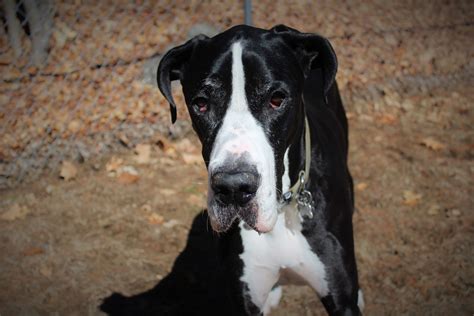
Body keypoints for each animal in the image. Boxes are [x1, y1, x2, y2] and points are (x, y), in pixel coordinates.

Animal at [102, 24, 362, 316]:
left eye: (277, 99)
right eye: (201, 103)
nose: (234, 187)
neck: (282, 211)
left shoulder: (342, 301)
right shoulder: (244, 299)